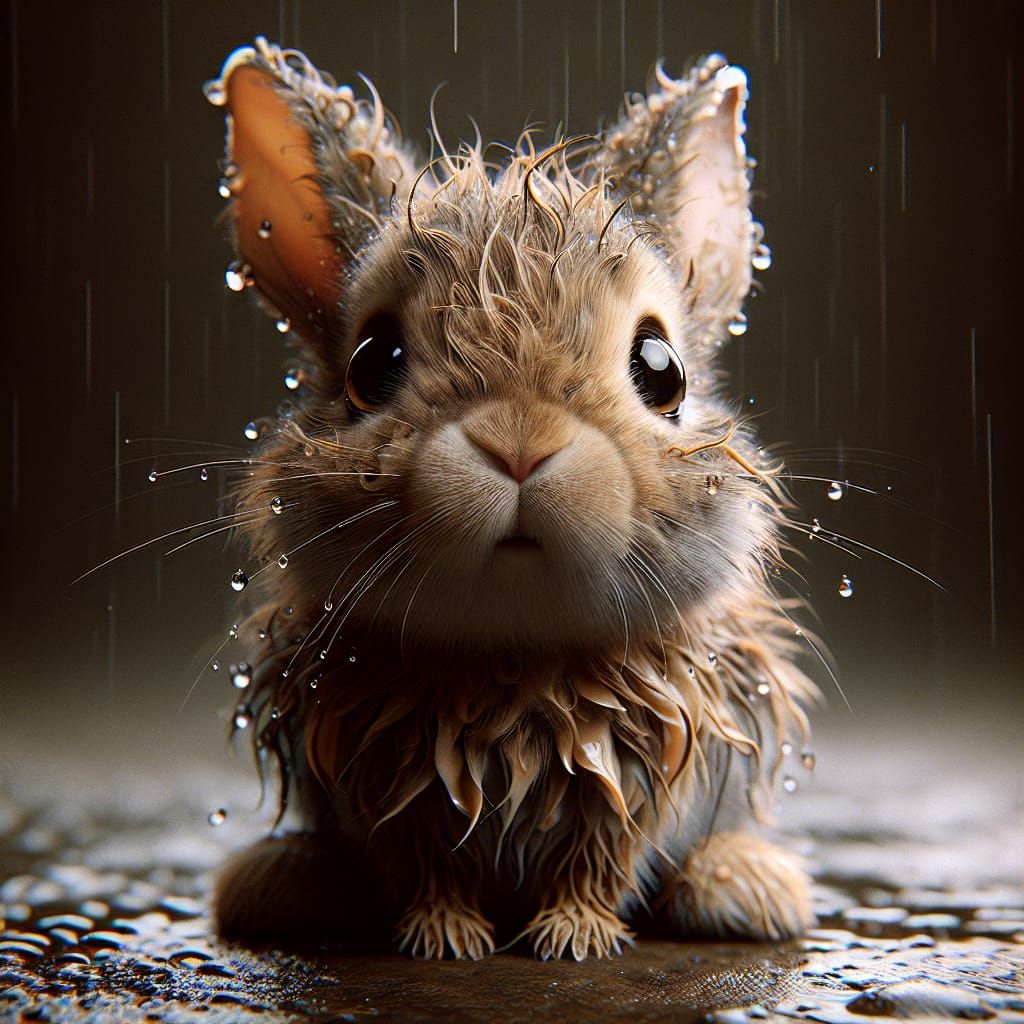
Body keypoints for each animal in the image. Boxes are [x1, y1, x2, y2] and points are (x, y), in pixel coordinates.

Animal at [206, 37, 818, 961]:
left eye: (662, 370)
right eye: (373, 364)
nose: (520, 443)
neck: (514, 656)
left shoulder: (643, 775)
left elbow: (599, 860)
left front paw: (573, 938)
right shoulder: (388, 790)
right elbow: (427, 864)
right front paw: (445, 939)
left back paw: (745, 889)